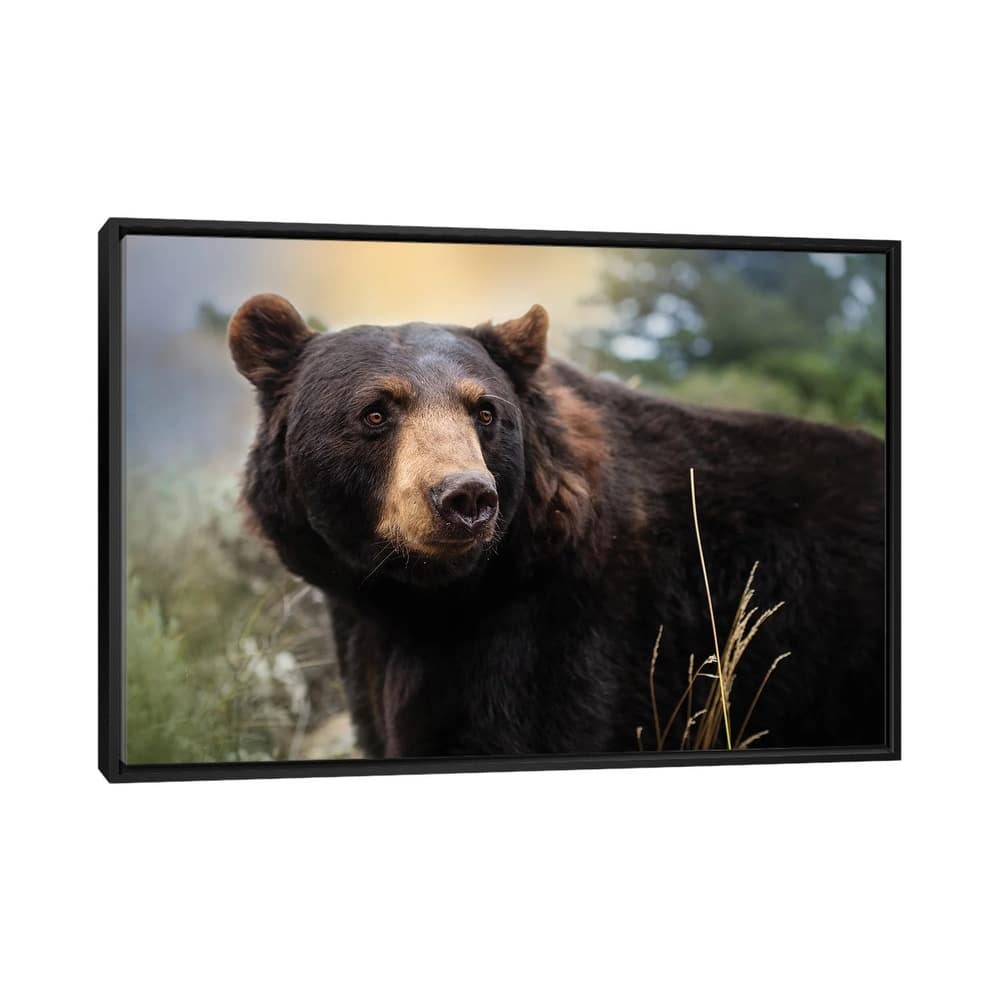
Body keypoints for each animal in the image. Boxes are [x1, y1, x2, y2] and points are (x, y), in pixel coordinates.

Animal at [228, 293, 885, 758]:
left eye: (485, 411)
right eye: (375, 412)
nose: (466, 496)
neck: (425, 598)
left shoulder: (567, 631)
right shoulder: (369, 635)